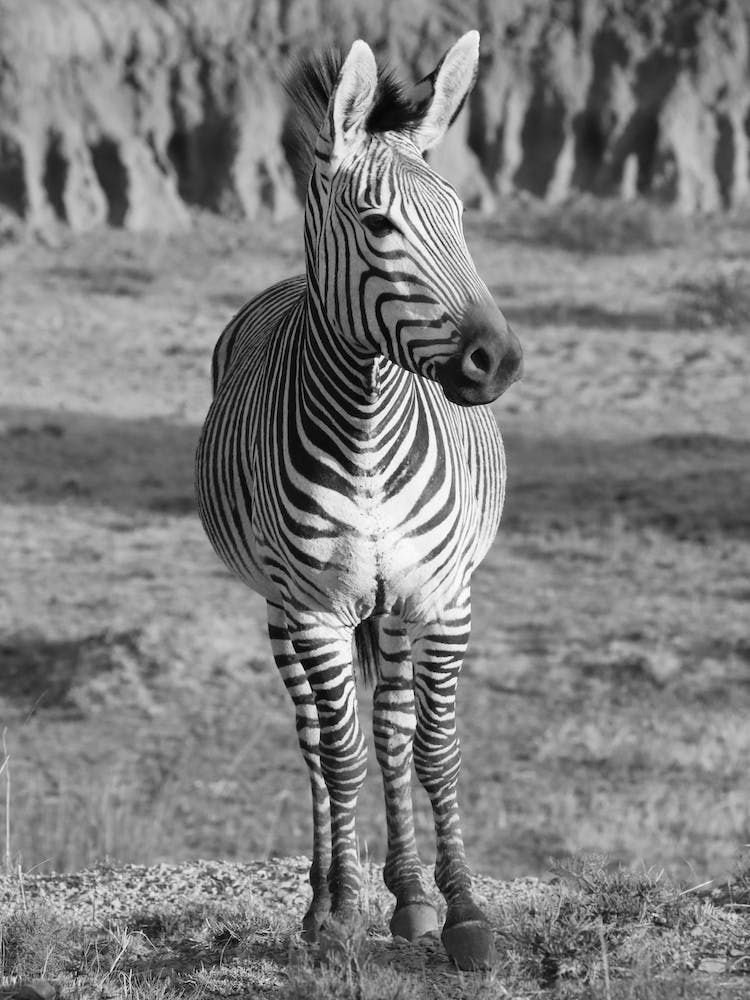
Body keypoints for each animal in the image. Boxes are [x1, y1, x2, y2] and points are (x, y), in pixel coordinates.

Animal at [195, 30, 523, 970]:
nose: (497, 359)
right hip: (281, 608)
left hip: (396, 608)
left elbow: (433, 749)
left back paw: (408, 895)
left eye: (460, 216)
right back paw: (321, 898)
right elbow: (338, 759)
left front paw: (461, 910)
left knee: (392, 728)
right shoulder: (316, 607)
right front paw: (340, 916)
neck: (371, 432)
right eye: (379, 226)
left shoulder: (442, 597)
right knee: (316, 741)